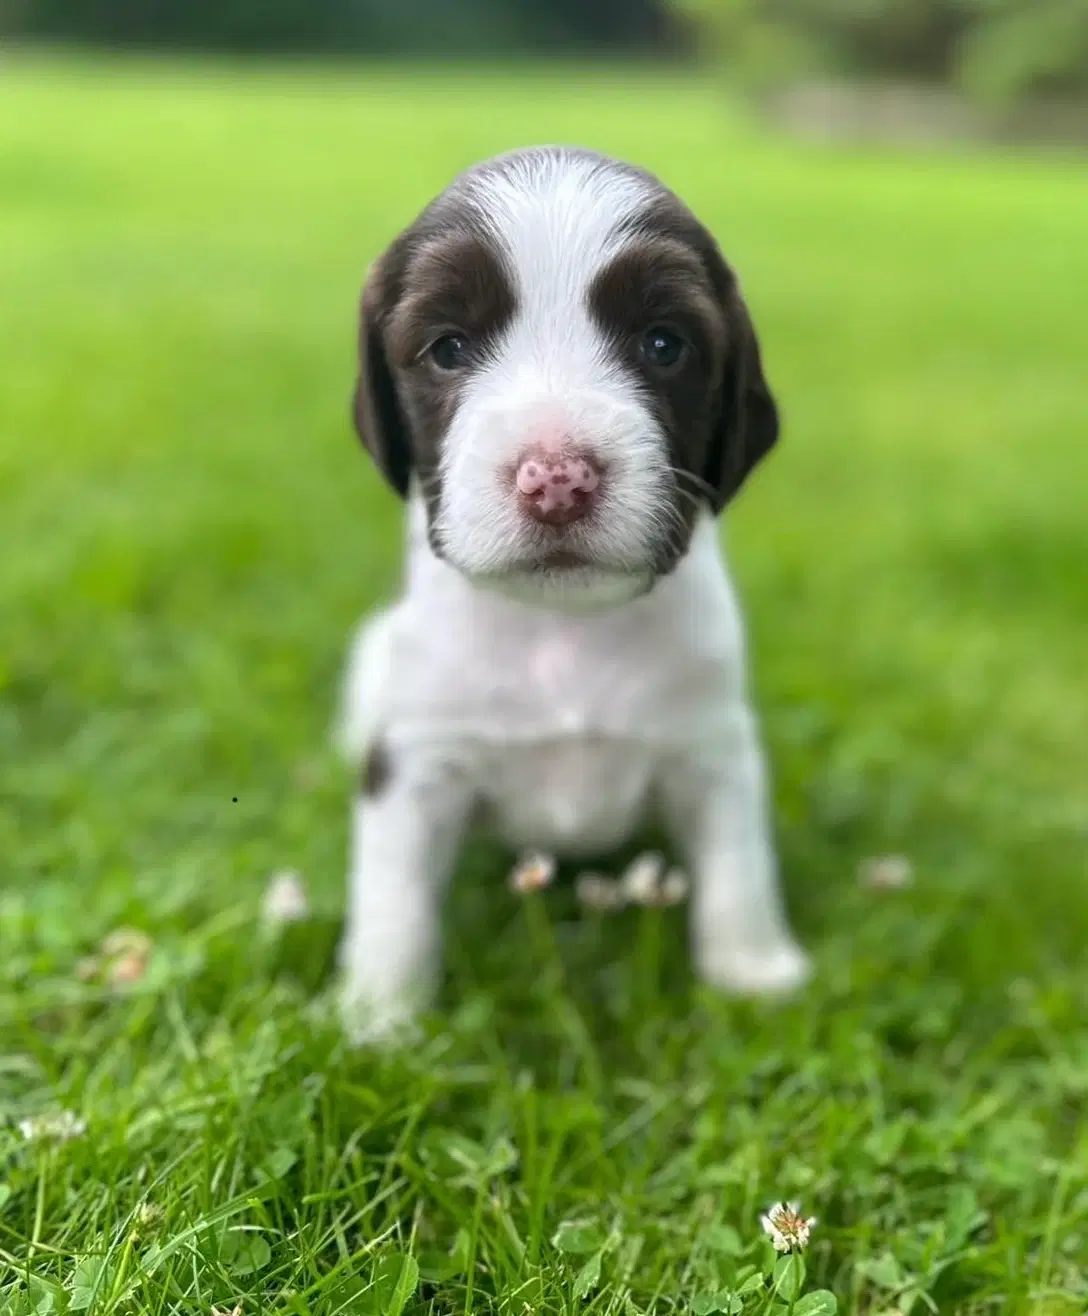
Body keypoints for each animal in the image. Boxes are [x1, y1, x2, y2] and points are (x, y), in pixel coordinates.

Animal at [339, 146, 810, 1047]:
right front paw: (381, 1017)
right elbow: (394, 894)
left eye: (664, 344)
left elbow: (739, 864)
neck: (562, 631)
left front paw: (753, 973)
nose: (555, 479)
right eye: (448, 349)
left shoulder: (711, 748)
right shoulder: (417, 761)